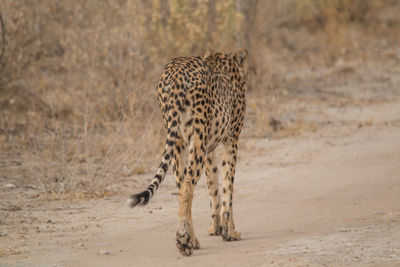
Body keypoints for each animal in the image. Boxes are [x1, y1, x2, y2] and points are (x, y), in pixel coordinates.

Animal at [128, 48, 247, 258]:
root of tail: (176, 70)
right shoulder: (231, 139)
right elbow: (228, 187)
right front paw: (230, 231)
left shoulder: (209, 149)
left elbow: (214, 187)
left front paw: (215, 228)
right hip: (196, 139)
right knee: (187, 186)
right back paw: (184, 240)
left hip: (179, 142)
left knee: (181, 185)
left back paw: (192, 240)